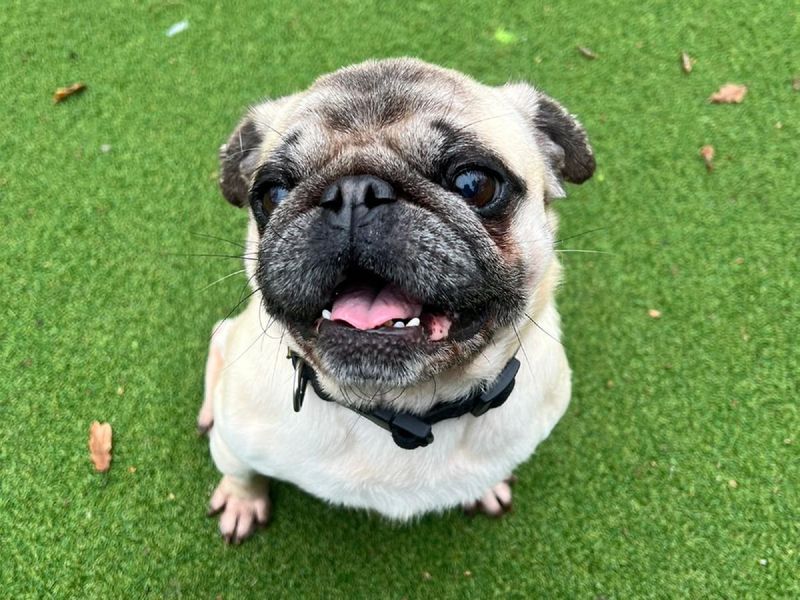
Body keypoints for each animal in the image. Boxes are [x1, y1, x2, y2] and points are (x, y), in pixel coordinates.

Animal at [196, 58, 592, 540]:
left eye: (474, 184)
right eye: (273, 194)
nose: (353, 193)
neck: (402, 410)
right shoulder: (234, 442)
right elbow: (240, 472)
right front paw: (242, 500)